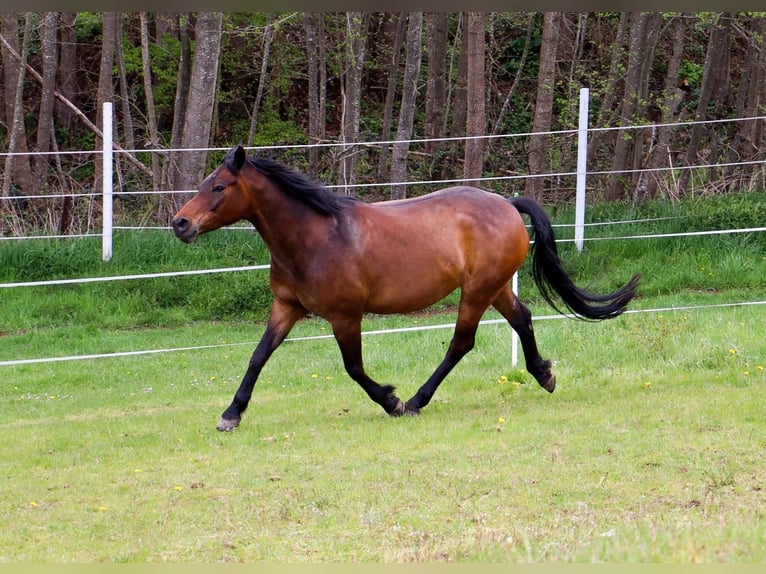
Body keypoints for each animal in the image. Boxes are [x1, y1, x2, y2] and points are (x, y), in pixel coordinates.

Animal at [174, 144, 640, 432]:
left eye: (219, 186)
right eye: (204, 183)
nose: (181, 224)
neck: (315, 236)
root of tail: (507, 204)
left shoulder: (345, 315)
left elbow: (354, 368)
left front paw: (391, 401)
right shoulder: (286, 307)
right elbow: (257, 357)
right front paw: (230, 414)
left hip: (477, 291)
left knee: (461, 343)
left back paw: (417, 401)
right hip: (495, 288)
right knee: (522, 319)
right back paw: (544, 375)